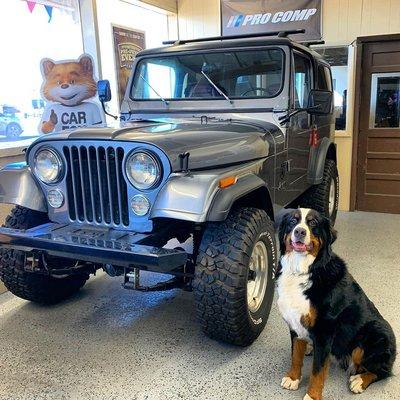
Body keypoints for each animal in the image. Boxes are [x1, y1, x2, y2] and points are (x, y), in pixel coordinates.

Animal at [276, 208, 396, 400]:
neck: (303, 271)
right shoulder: (295, 323)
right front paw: (293, 378)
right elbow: (295, 355)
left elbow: (317, 371)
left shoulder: (324, 331)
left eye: (313, 223)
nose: (299, 232)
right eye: (293, 221)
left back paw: (359, 381)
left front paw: (312, 395)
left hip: (374, 334)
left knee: (382, 371)